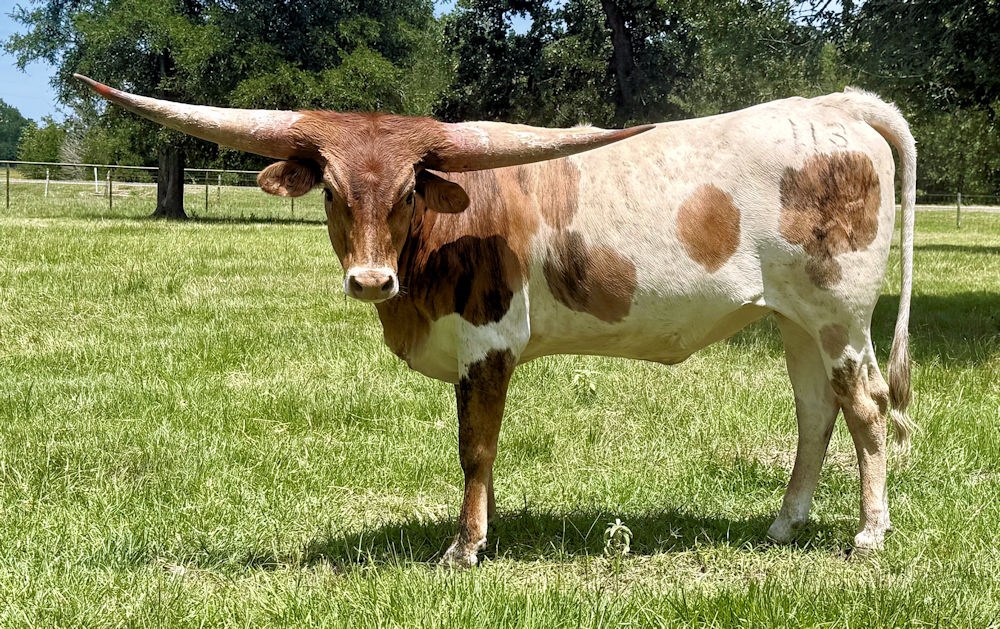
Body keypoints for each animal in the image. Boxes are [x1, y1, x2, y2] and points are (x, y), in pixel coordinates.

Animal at [76, 74, 916, 568]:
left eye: (410, 190)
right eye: (334, 192)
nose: (370, 278)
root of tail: (834, 107)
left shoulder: (487, 342)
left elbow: (475, 447)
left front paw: (466, 545)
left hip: (840, 316)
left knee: (867, 409)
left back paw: (869, 532)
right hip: (794, 321)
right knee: (815, 412)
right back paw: (785, 523)